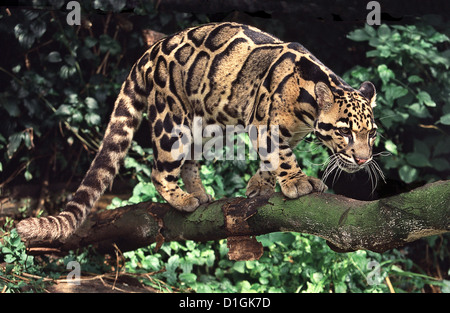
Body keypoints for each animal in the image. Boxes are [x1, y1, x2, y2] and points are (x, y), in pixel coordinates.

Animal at [16, 22, 376, 241]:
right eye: (344, 132)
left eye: (371, 134)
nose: (362, 159)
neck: (308, 108)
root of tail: (153, 49)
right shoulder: (264, 124)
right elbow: (281, 156)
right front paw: (297, 182)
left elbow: (269, 160)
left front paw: (260, 184)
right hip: (171, 121)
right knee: (158, 170)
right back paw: (182, 199)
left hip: (207, 125)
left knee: (190, 159)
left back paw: (199, 193)